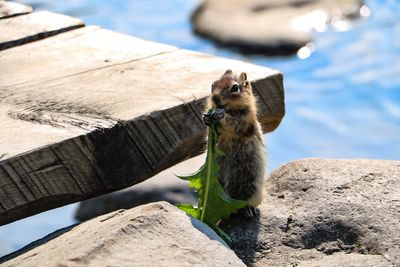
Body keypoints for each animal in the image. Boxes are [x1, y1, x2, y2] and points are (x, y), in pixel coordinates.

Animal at [203, 70, 266, 219]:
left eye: (235, 88)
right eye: (213, 84)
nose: (215, 98)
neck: (230, 109)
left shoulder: (245, 119)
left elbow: (233, 123)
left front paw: (220, 115)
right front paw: (205, 118)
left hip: (247, 181)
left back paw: (247, 210)